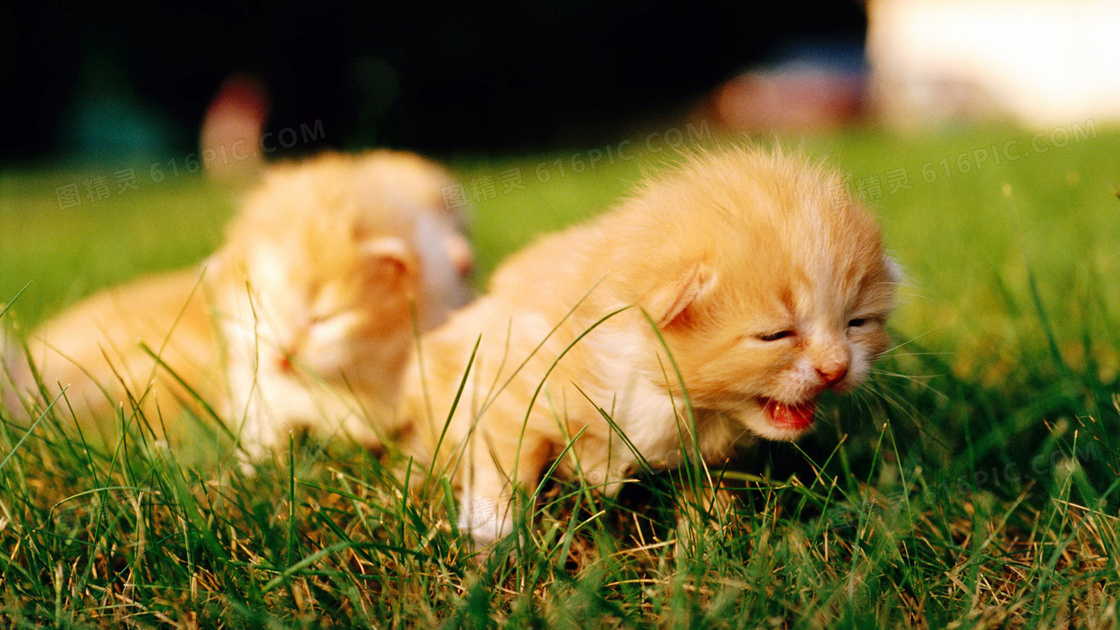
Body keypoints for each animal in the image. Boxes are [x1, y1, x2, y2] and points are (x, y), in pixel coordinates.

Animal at [398, 144, 896, 542]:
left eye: (857, 323)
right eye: (775, 335)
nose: (837, 369)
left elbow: (708, 493)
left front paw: (710, 543)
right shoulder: (509, 379)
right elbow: (503, 466)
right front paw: (493, 539)